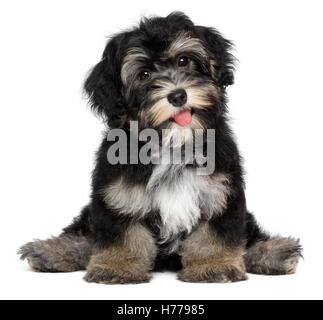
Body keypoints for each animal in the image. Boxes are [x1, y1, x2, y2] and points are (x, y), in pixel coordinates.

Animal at [19, 12, 304, 284]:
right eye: (143, 75)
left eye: (183, 61)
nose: (178, 95)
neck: (171, 142)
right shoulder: (117, 195)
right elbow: (121, 234)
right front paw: (118, 267)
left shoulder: (221, 191)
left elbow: (215, 234)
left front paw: (214, 266)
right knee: (85, 234)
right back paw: (50, 252)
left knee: (250, 234)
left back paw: (276, 253)